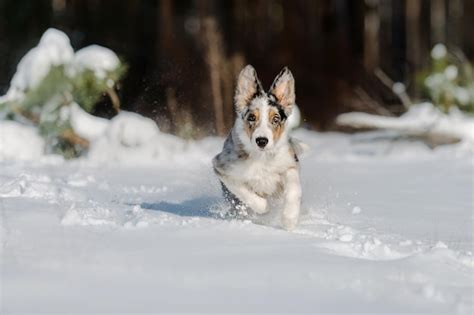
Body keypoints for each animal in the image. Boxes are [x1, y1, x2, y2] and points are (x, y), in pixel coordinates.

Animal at [212, 65, 302, 231]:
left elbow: (294, 189)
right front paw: (264, 208)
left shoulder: (289, 163)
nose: (261, 141)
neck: (262, 157)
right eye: (252, 117)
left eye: (275, 119)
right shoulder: (222, 167)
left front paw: (290, 220)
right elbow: (243, 190)